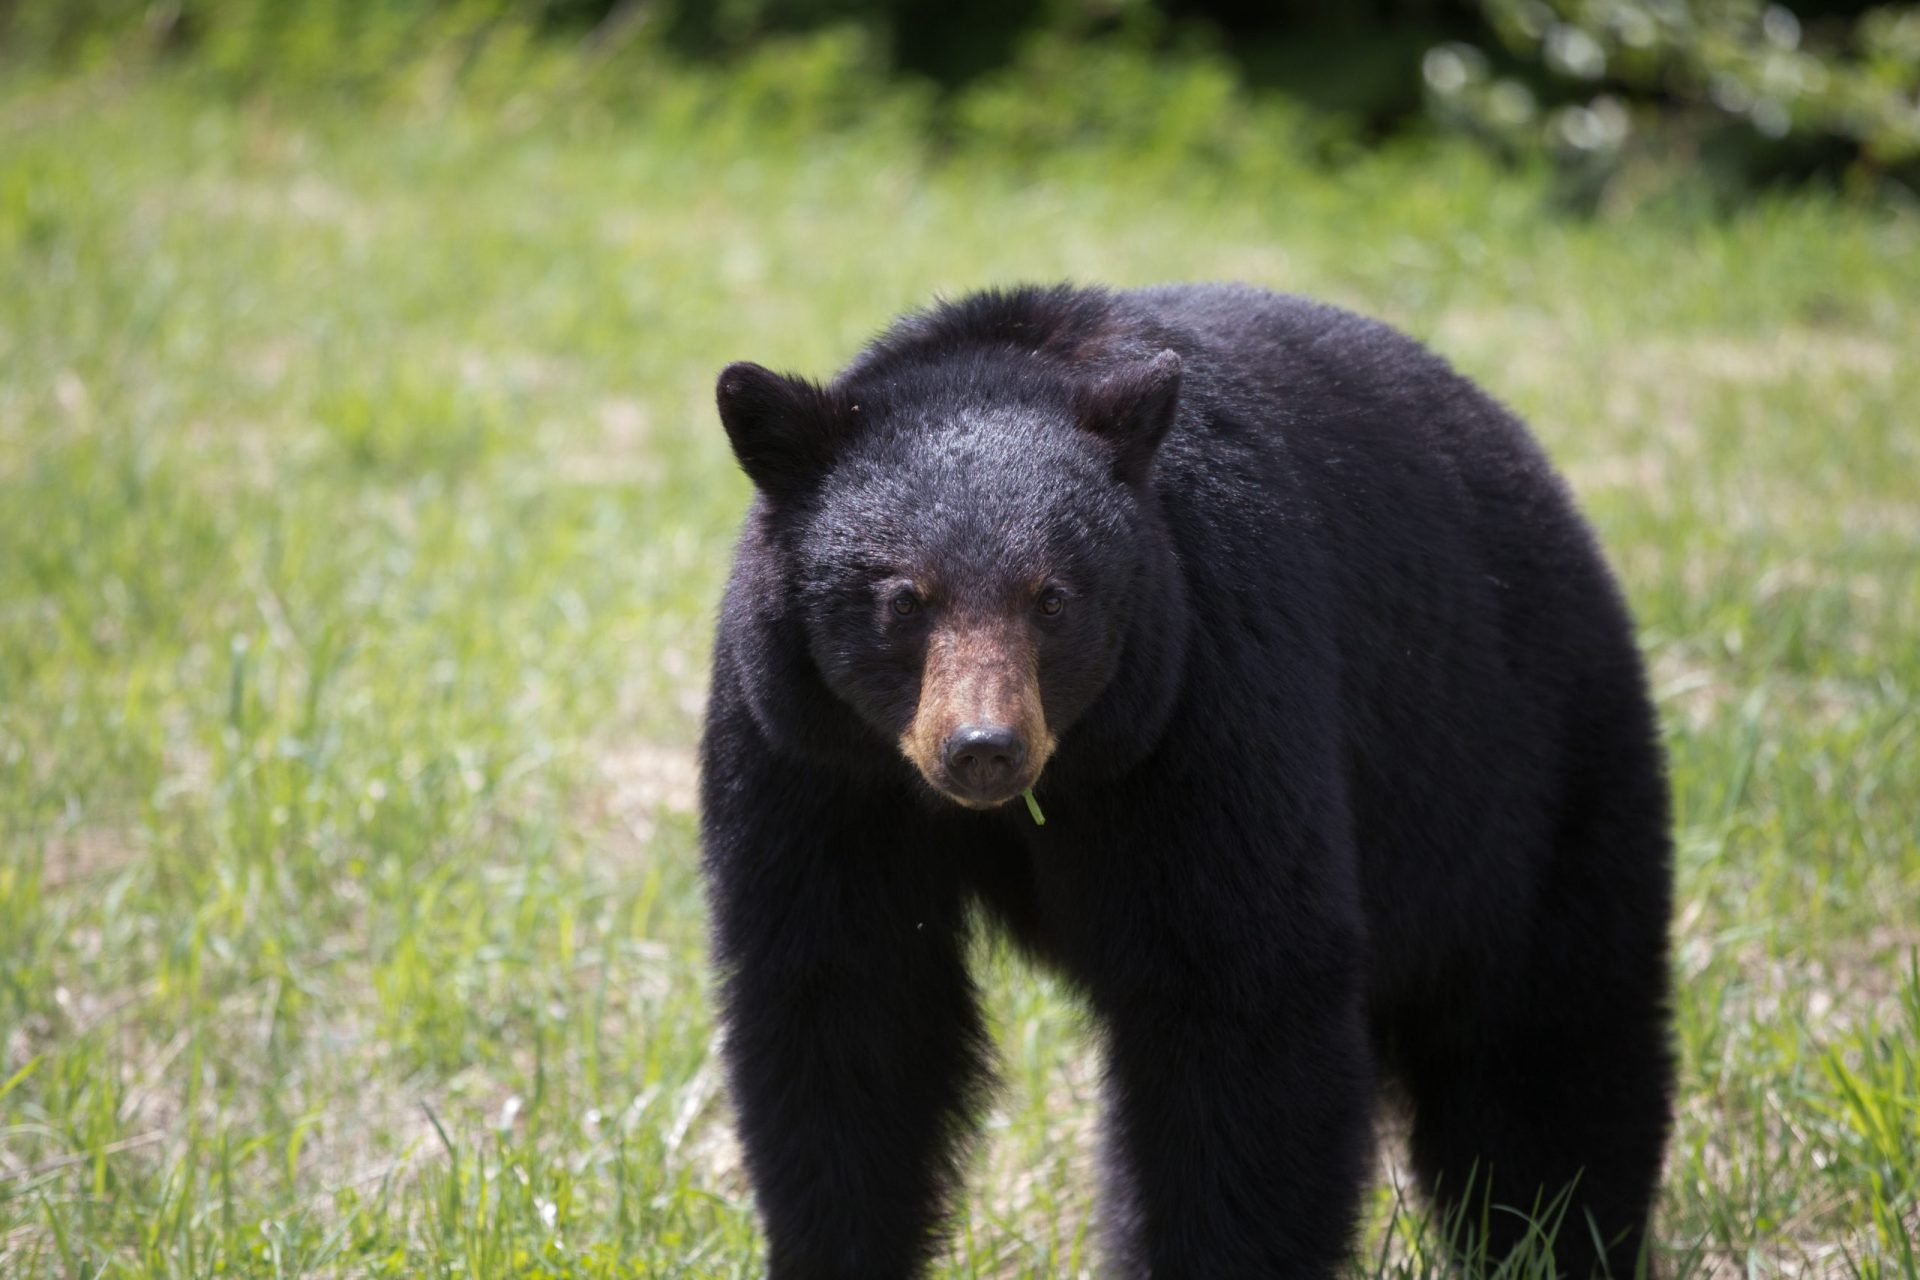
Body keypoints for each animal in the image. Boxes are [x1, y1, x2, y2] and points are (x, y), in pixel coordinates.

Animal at [698, 285, 1674, 1274]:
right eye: (904, 599)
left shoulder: (1208, 695)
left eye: (1053, 598)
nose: (983, 748)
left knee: (1547, 1035)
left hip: (1523, 768)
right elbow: (844, 1007)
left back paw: (1559, 1236)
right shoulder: (810, 758)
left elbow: (1240, 996)